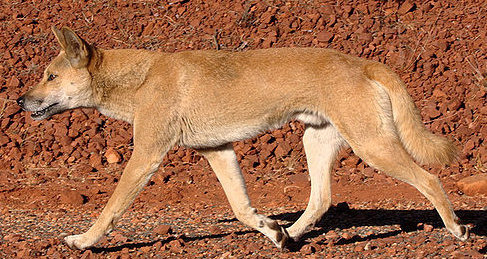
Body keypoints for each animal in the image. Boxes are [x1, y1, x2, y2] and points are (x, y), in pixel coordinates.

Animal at [18, 27, 468, 251]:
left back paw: (457, 229)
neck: (140, 79)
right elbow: (239, 208)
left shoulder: (146, 154)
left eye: (50, 76)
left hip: (373, 145)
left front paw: (83, 241)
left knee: (429, 179)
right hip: (317, 141)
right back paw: (291, 235)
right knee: (321, 198)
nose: (21, 100)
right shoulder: (217, 150)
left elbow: (110, 209)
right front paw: (271, 229)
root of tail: (363, 63)